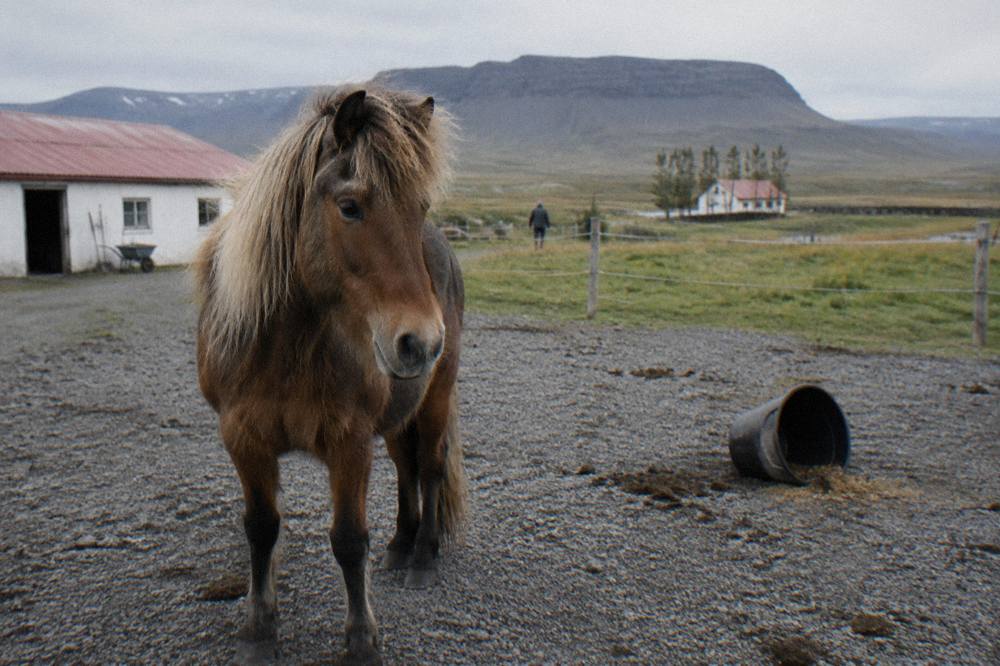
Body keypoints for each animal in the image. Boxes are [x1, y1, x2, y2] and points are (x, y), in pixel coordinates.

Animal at [193, 86, 466, 664]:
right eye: (349, 207)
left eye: (420, 207)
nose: (421, 342)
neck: (283, 351)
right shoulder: (242, 437)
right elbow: (261, 528)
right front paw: (259, 626)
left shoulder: (349, 441)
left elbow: (348, 539)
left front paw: (361, 638)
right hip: (398, 413)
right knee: (406, 468)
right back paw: (401, 544)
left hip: (435, 397)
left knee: (430, 467)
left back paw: (423, 556)